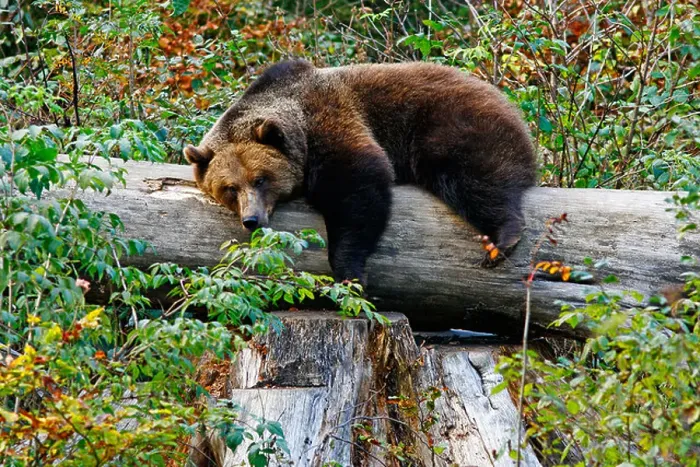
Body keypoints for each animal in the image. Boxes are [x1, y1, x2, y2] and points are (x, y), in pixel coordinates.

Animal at [184, 59, 537, 285]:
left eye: (260, 179)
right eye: (229, 188)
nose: (252, 220)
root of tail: (506, 101)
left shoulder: (330, 121)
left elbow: (357, 187)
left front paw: (350, 271)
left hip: (453, 123)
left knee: (473, 177)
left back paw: (502, 239)